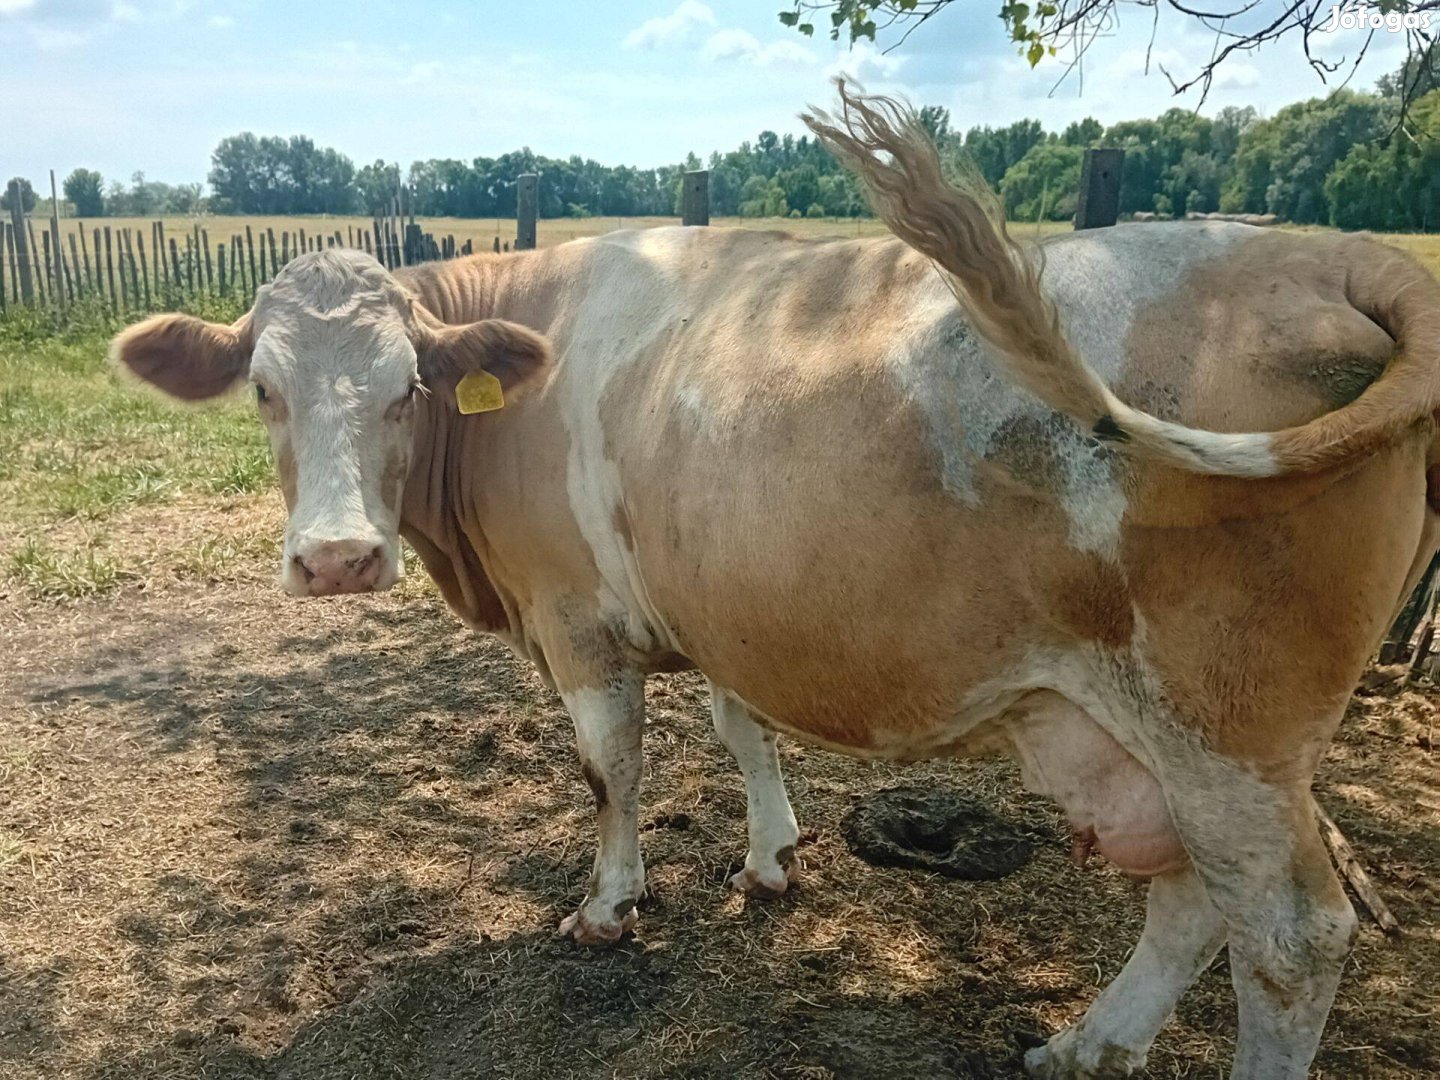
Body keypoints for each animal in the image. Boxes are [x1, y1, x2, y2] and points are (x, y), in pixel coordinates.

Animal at [109, 86, 1440, 1080]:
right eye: (264, 388)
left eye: (406, 390)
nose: (338, 558)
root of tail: (1320, 255)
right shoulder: (717, 603)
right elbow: (740, 726)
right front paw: (770, 858)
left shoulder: (577, 624)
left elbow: (611, 772)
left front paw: (612, 905)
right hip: (1162, 732)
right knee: (1194, 900)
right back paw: (1084, 1043)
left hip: (1226, 725)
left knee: (1289, 934)